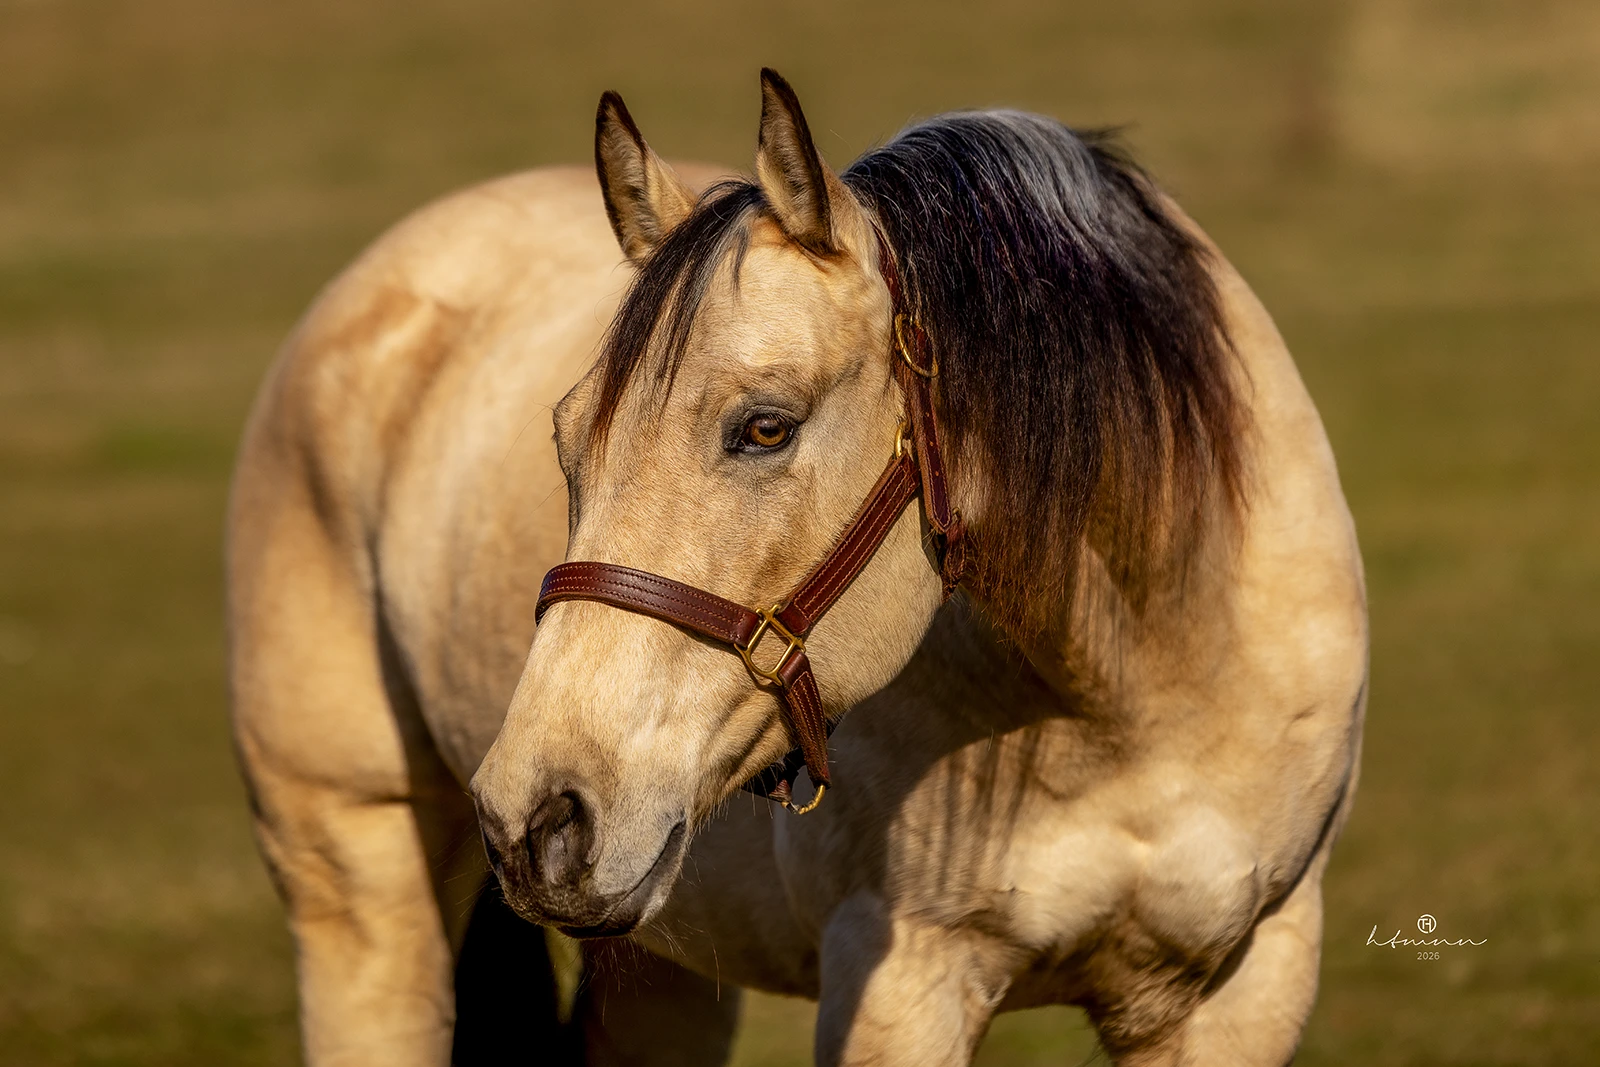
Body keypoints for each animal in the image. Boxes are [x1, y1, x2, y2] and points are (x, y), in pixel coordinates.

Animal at [228, 69, 1366, 1067]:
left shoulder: (1245, 985)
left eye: (764, 427)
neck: (1135, 687)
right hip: (357, 869)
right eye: (566, 438)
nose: (533, 818)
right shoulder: (903, 984)